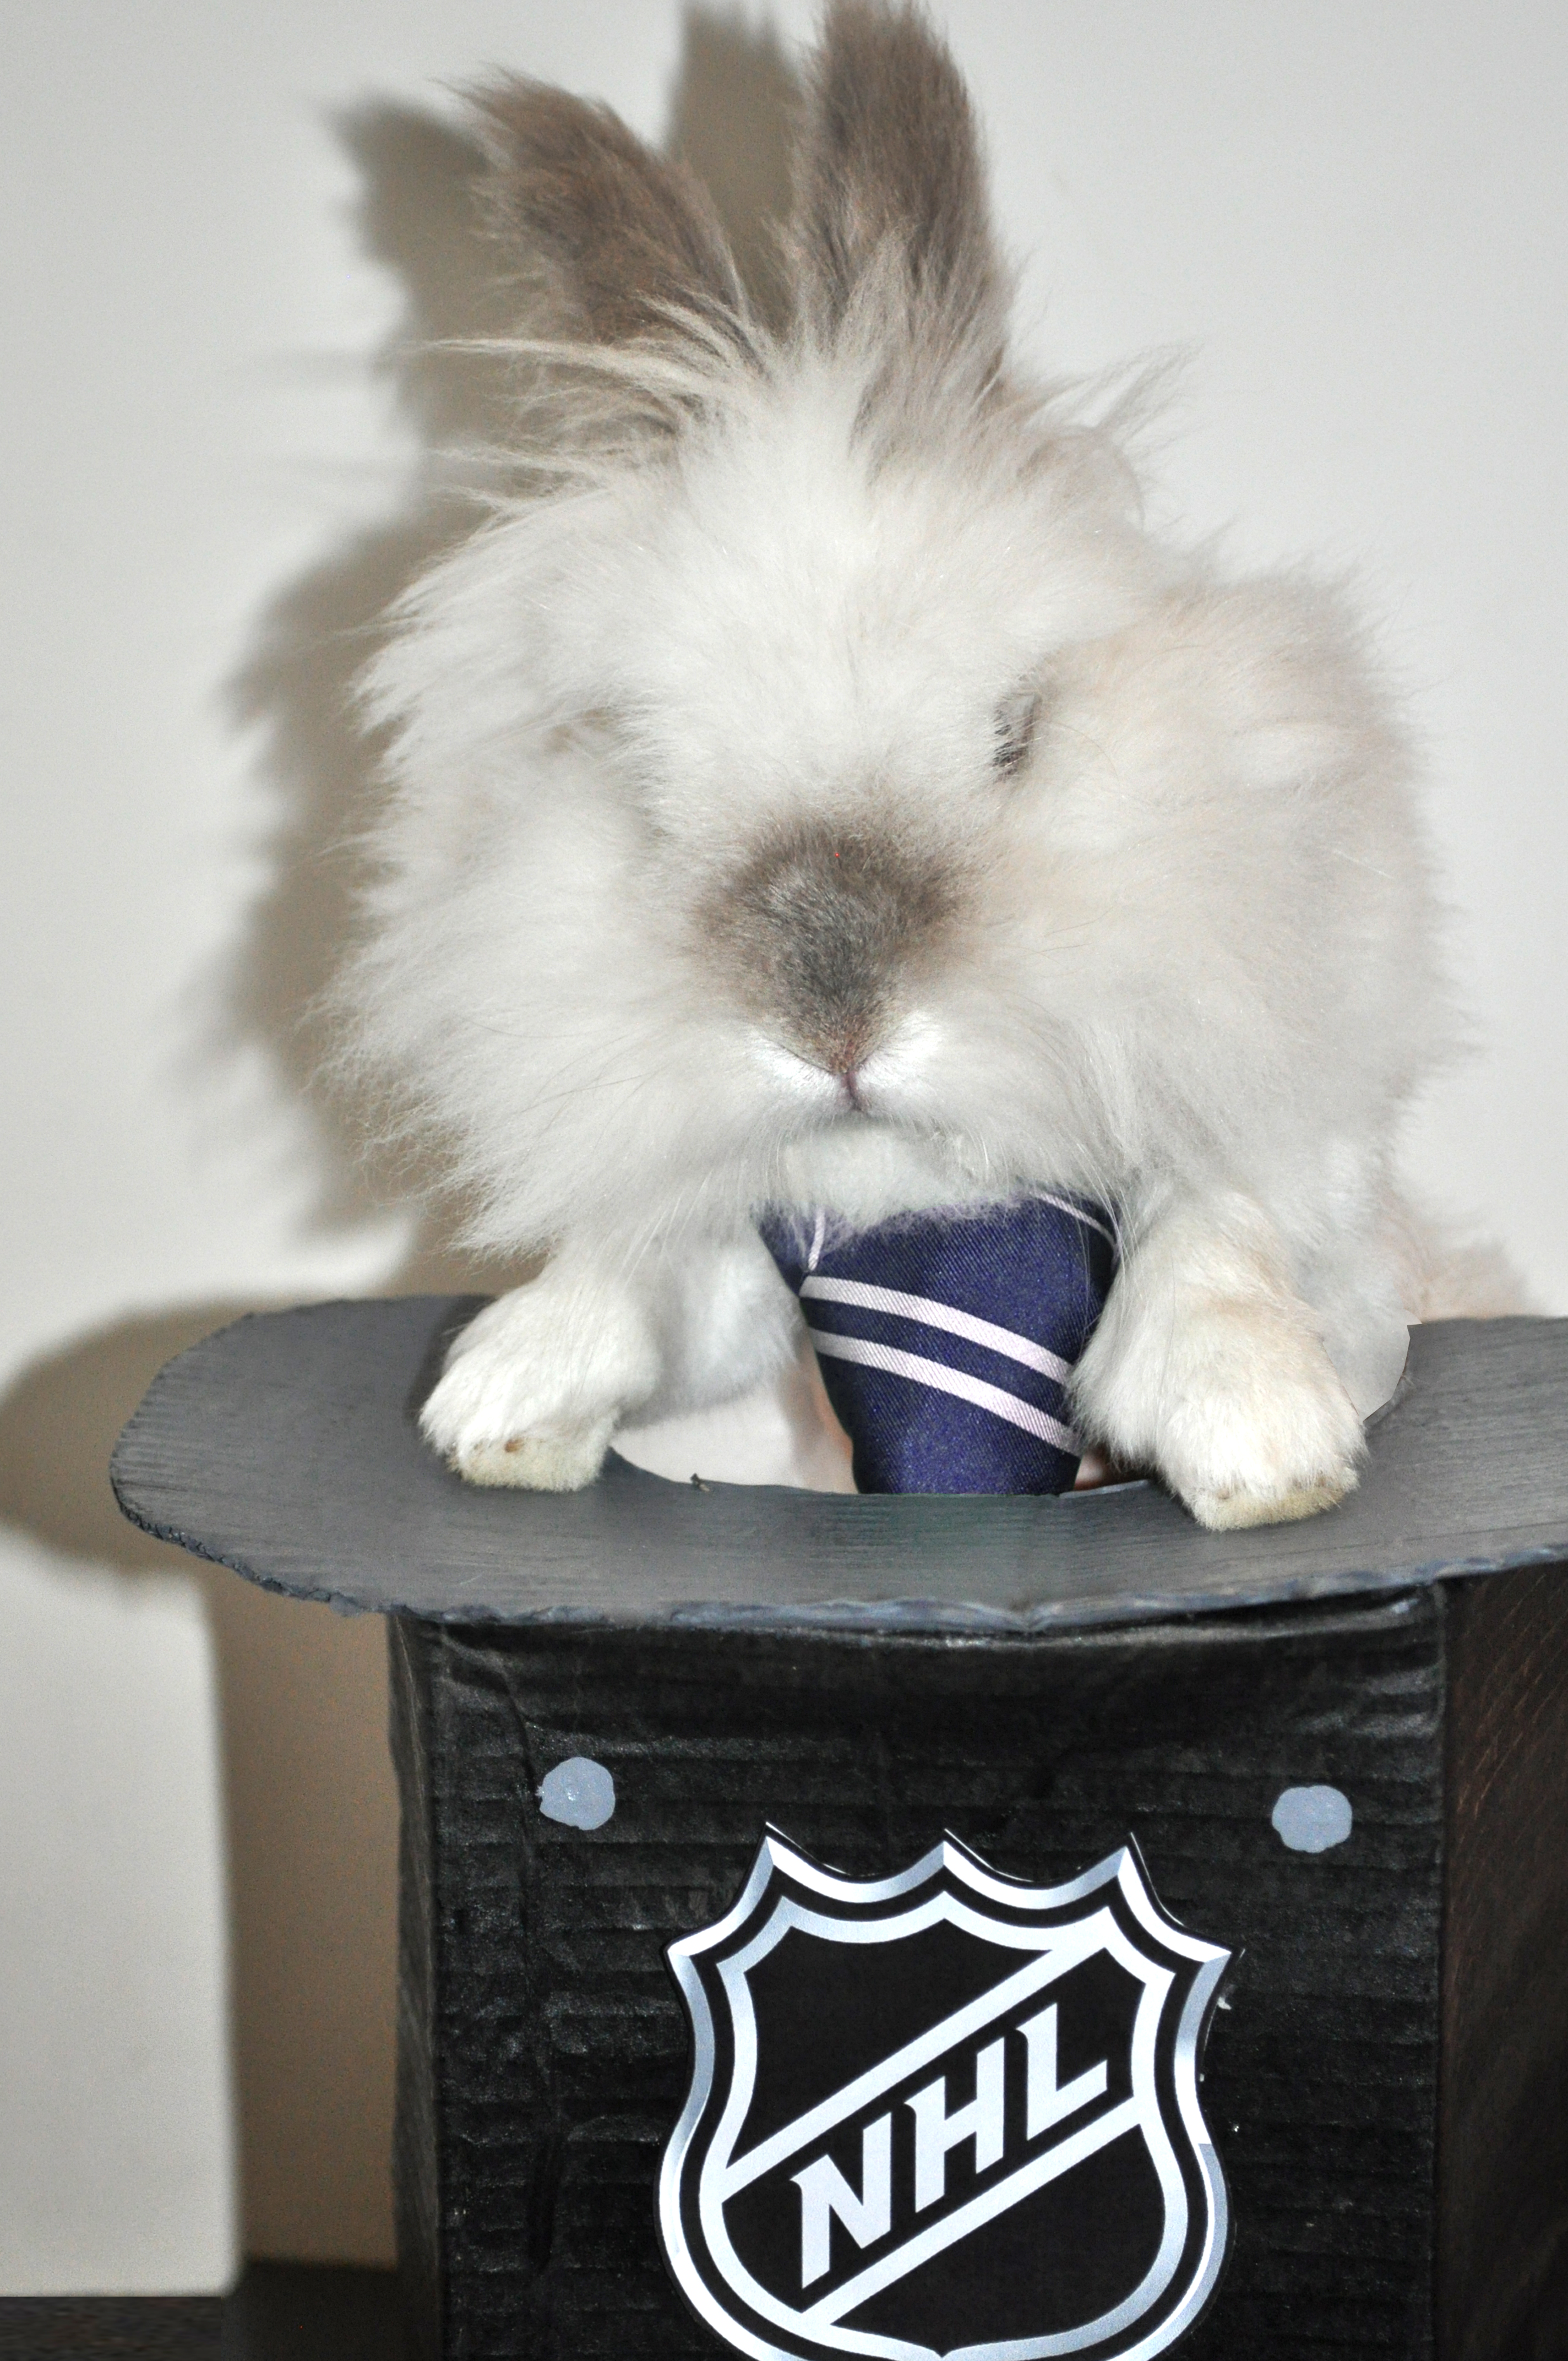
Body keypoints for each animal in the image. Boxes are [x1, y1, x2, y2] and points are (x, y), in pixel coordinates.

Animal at [340, 0, 1473, 1530]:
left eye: (1014, 733)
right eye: (642, 778)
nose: (834, 1028)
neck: (916, 1207)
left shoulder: (1303, 1173)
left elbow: (1225, 1216)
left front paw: (1257, 1439)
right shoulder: (743, 1291)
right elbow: (656, 1267)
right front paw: (505, 1394)